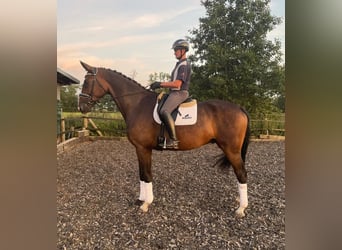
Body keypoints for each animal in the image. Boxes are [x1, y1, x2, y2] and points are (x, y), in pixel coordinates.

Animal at [79, 60, 250, 217]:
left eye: (87, 82)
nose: (81, 107)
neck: (137, 104)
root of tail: (239, 108)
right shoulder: (140, 149)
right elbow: (141, 173)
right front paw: (140, 199)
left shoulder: (143, 148)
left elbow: (147, 174)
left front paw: (146, 204)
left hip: (231, 149)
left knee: (241, 173)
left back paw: (241, 209)